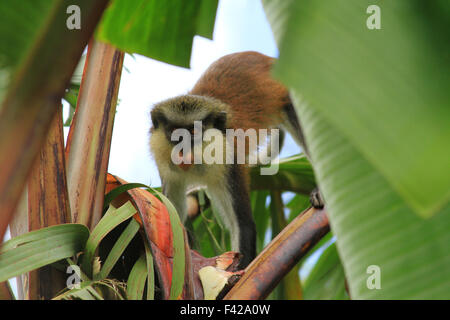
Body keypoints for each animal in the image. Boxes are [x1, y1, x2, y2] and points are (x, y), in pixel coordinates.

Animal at [151, 52, 324, 268]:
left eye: (194, 132)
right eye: (175, 133)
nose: (182, 152)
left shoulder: (229, 163)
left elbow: (243, 225)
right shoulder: (167, 170)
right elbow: (172, 220)